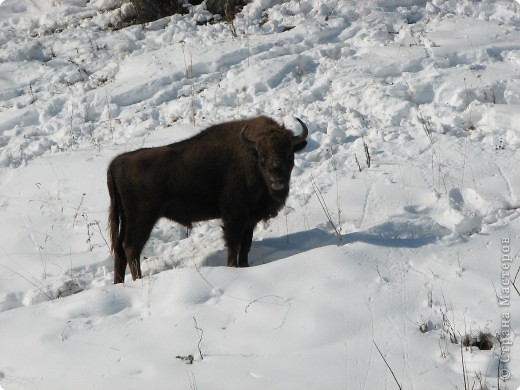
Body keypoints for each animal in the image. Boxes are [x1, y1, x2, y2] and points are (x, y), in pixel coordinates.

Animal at [107, 115, 306, 284]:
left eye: (289, 154)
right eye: (262, 157)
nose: (277, 181)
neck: (251, 154)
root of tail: (116, 163)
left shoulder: (249, 220)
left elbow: (245, 245)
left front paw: (245, 266)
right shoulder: (234, 216)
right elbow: (234, 244)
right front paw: (233, 267)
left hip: (126, 218)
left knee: (120, 250)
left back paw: (119, 283)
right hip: (142, 218)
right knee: (131, 247)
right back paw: (138, 280)